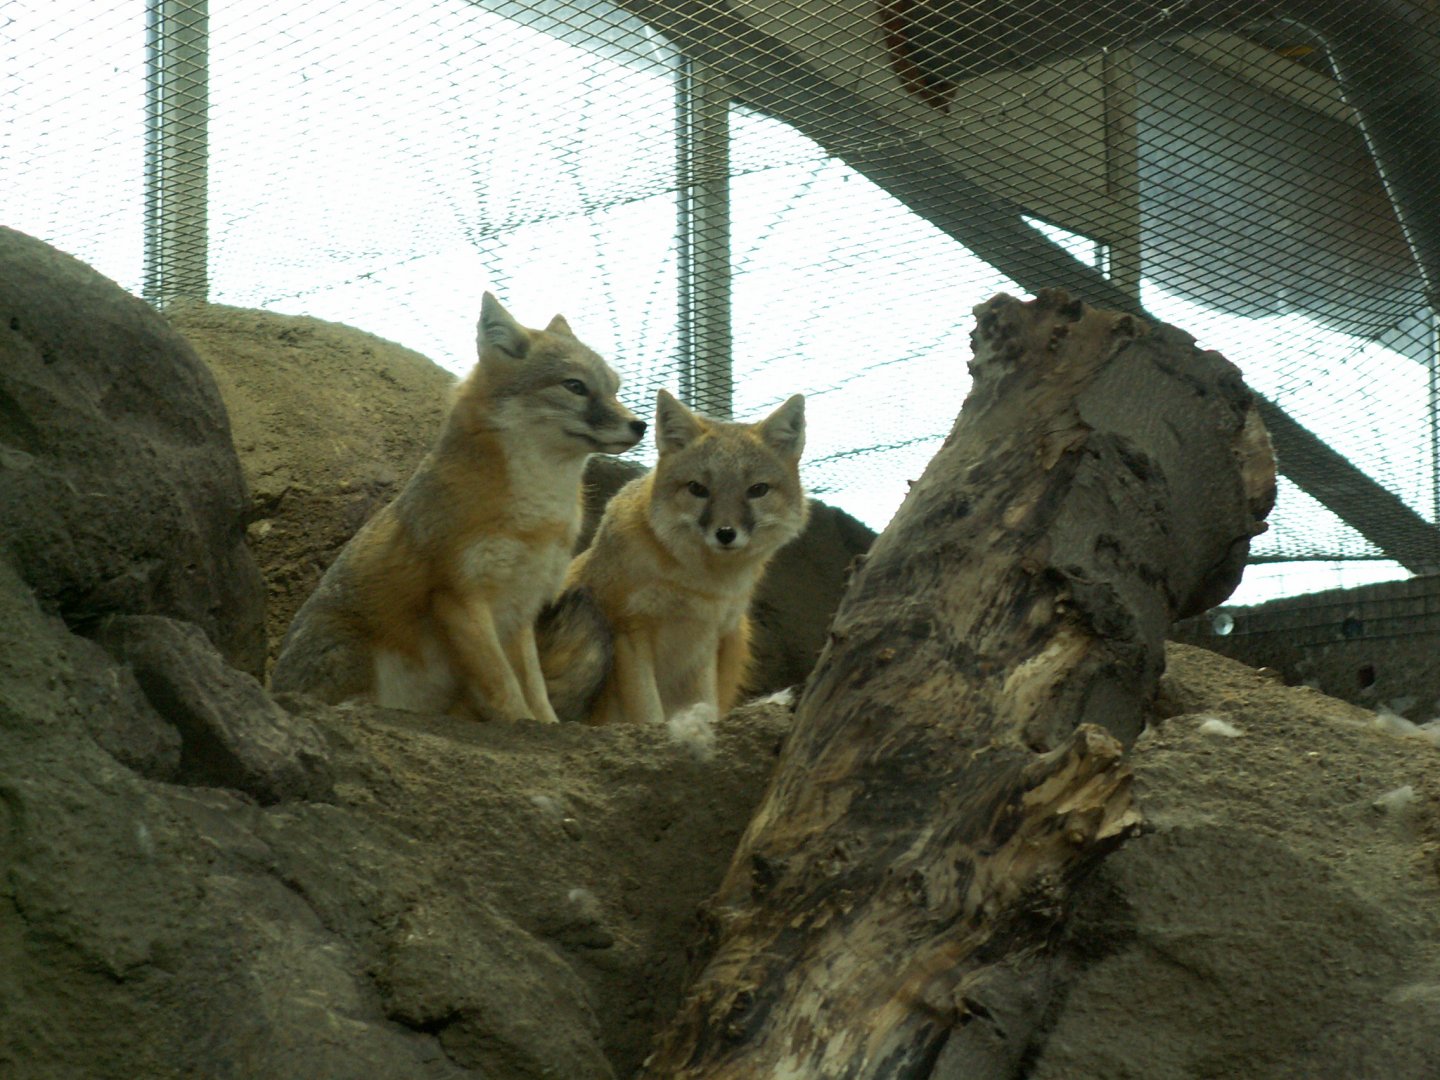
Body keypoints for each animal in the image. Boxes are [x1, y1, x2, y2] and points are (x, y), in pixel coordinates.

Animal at [269, 293, 645, 722]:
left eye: (615, 389)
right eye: (575, 387)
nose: (640, 425)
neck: (536, 516)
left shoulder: (520, 609)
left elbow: (533, 686)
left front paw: (547, 725)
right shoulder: (458, 594)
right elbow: (502, 682)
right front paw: (518, 722)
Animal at [542, 389, 809, 726]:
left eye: (757, 490)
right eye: (697, 488)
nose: (725, 533)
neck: (698, 584)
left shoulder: (706, 640)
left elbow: (704, 704)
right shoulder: (630, 631)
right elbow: (647, 711)